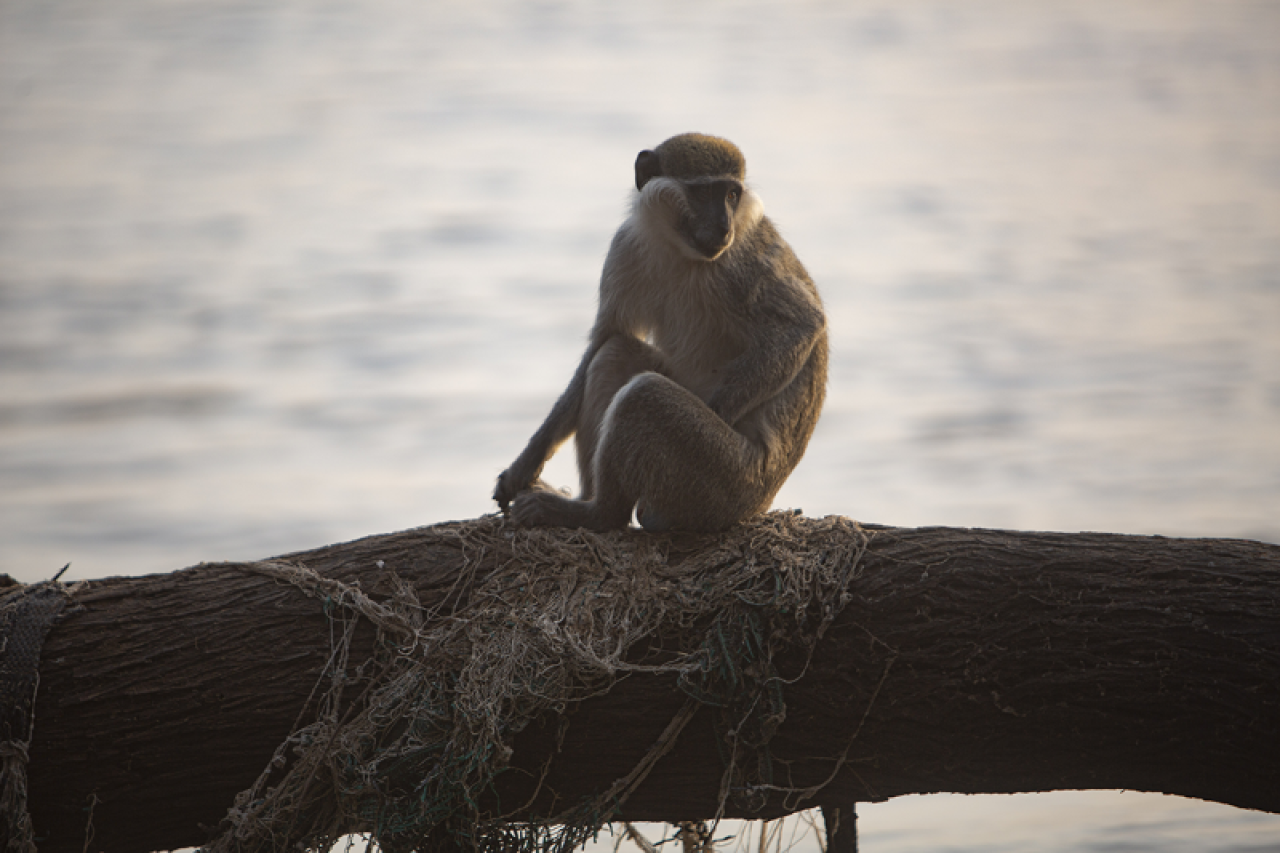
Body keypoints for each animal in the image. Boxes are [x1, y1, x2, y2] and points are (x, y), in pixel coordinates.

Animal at [488, 131, 829, 532]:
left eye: (732, 195)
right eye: (705, 193)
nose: (725, 227)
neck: (678, 246)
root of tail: (764, 500)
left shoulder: (742, 260)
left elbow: (802, 326)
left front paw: (716, 411)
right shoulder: (625, 246)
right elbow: (603, 340)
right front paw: (523, 466)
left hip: (731, 483)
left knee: (644, 395)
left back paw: (599, 513)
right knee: (614, 354)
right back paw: (589, 503)